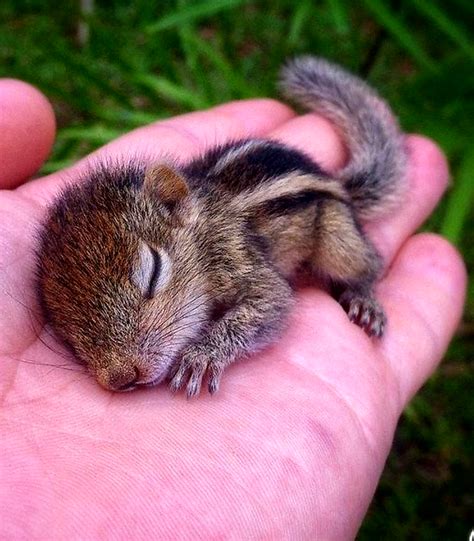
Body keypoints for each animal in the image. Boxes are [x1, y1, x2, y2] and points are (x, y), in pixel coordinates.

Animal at [38, 58, 408, 396]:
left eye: (154, 273)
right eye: (62, 325)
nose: (120, 377)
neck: (203, 232)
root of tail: (336, 181)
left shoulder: (239, 260)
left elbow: (271, 303)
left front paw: (202, 355)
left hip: (337, 236)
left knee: (367, 264)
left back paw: (364, 298)